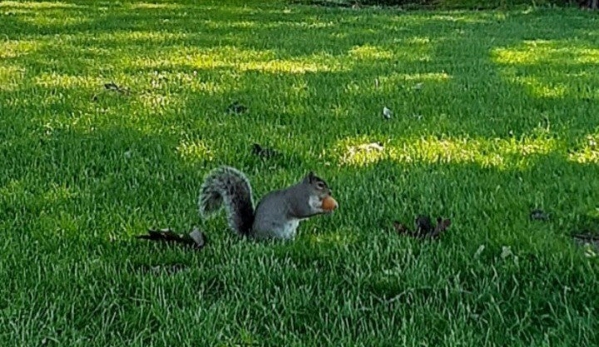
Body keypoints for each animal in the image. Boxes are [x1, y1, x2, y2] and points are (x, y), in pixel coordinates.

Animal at [198, 167, 336, 241]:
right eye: (320, 185)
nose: (330, 192)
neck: (308, 191)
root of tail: (252, 235)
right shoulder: (298, 200)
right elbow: (304, 211)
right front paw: (323, 210)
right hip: (275, 231)